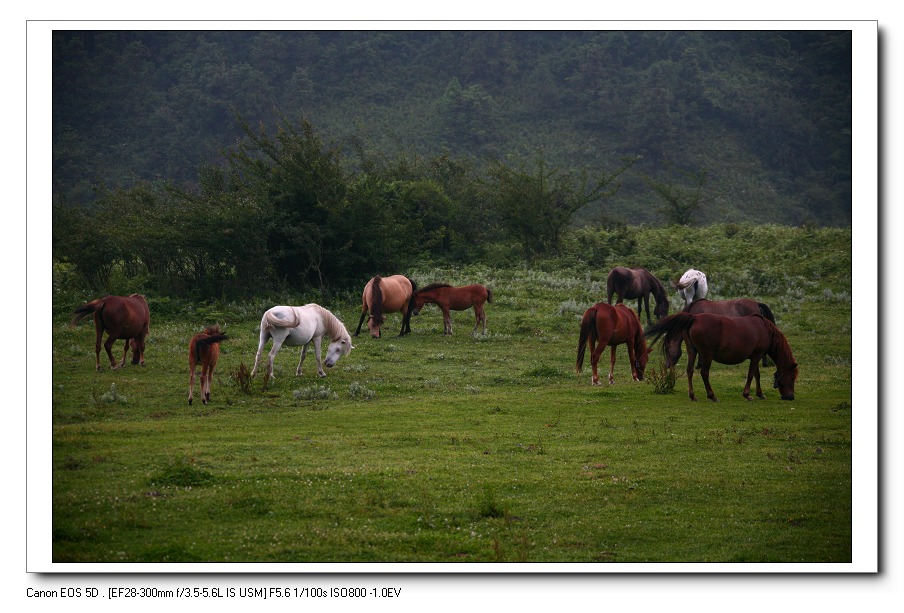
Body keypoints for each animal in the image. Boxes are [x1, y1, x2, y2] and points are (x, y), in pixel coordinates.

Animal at [644, 310, 800, 402]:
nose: (790, 397)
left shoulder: (755, 357)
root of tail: (694, 318)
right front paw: (747, 394)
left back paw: (692, 396)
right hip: (706, 354)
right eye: (792, 378)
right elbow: (751, 375)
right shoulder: (757, 355)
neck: (764, 329)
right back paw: (712, 395)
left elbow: (756, 374)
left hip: (692, 351)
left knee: (689, 371)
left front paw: (760, 394)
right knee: (704, 373)